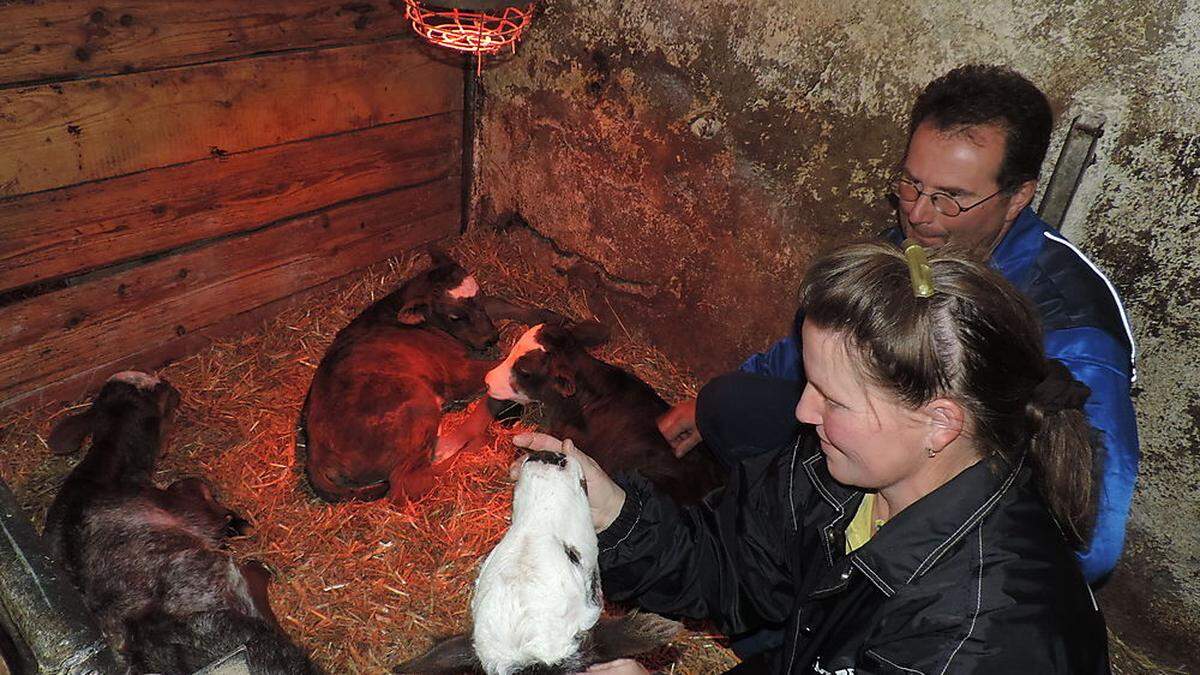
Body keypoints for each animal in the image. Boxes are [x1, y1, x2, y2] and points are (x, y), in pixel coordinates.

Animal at [45, 369, 321, 667]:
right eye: (163, 393)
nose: (174, 389)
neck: (104, 470)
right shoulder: (188, 512)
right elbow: (192, 487)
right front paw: (235, 523)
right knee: (254, 576)